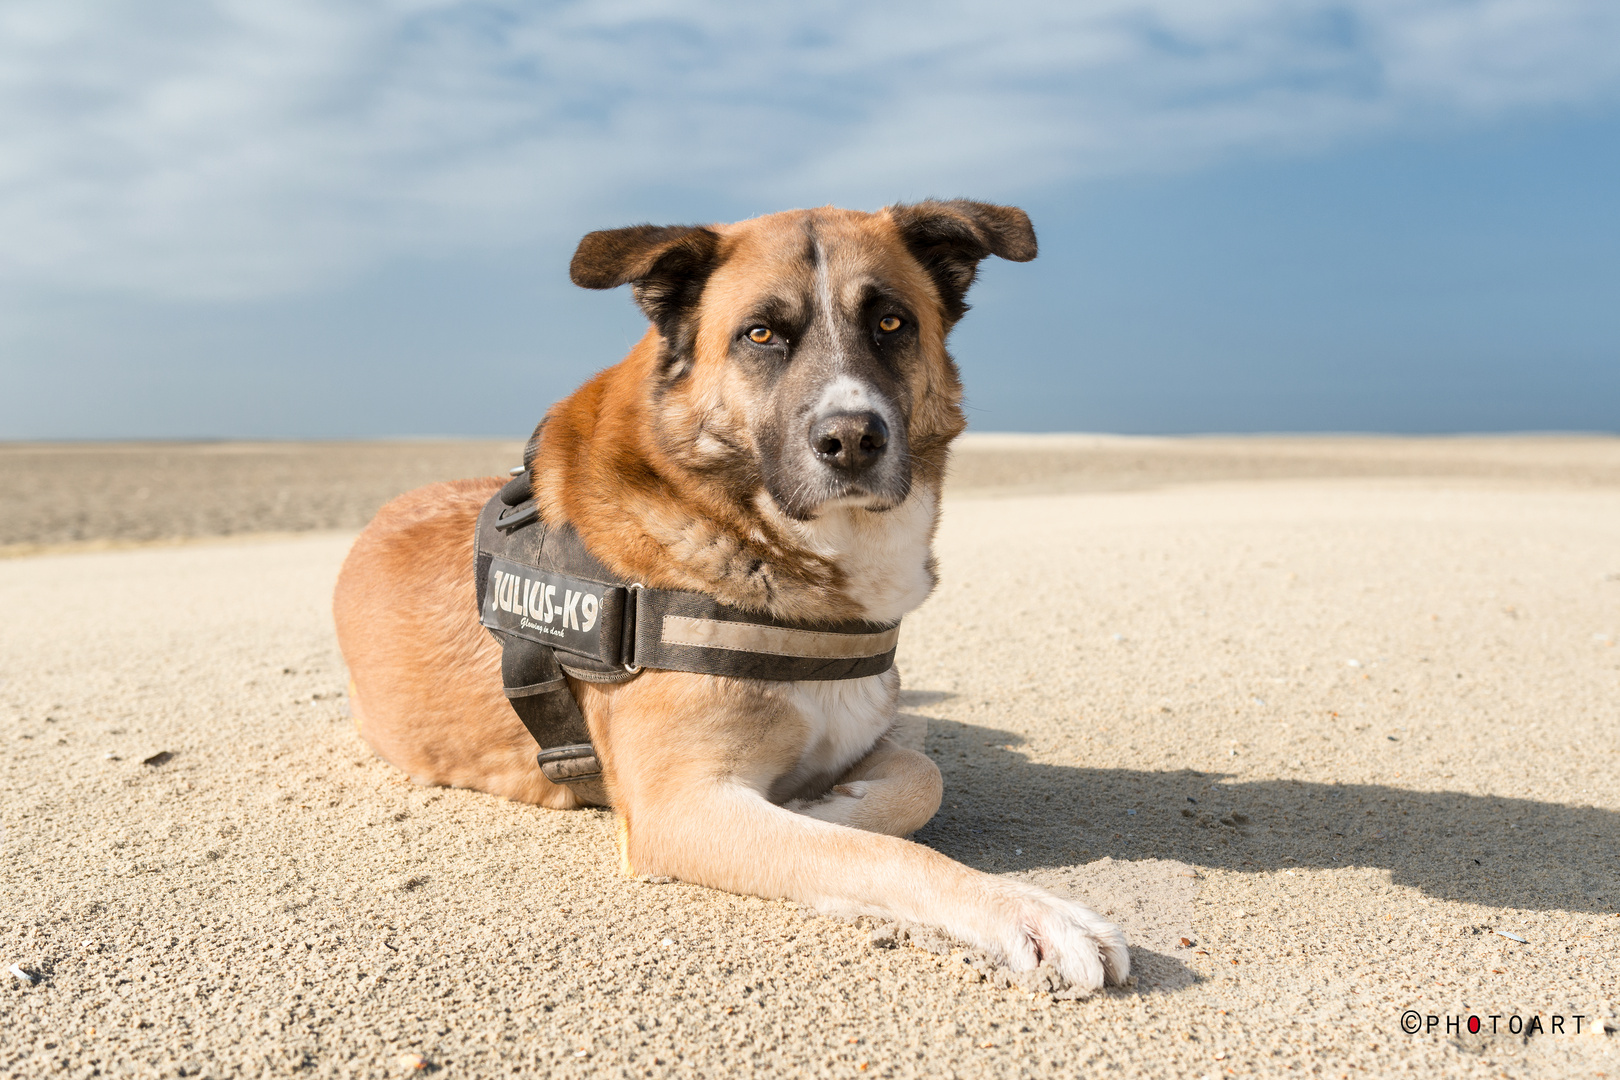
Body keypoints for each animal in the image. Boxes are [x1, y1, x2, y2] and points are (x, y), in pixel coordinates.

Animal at [335, 198, 1134, 990]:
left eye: (891, 323)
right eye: (760, 334)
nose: (852, 439)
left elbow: (920, 774)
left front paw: (832, 799)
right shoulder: (680, 808)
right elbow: (874, 851)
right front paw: (1033, 912)